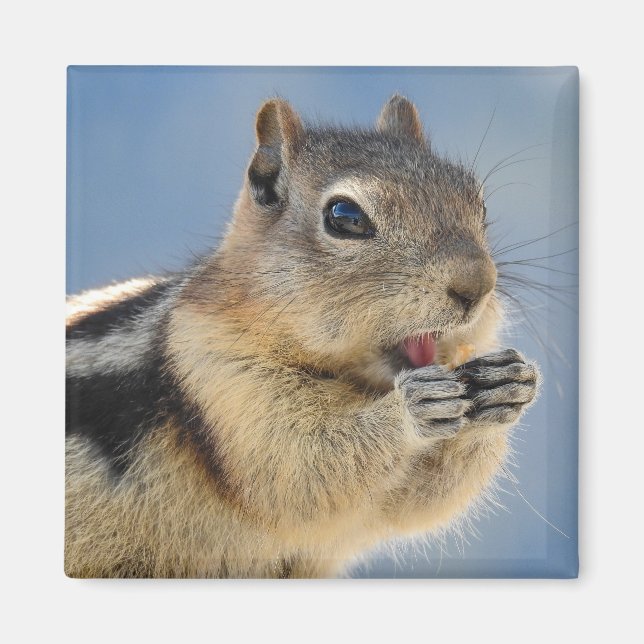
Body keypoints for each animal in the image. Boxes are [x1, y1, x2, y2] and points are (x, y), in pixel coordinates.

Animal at [65, 95, 540, 578]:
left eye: (479, 204)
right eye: (345, 217)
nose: (476, 285)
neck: (352, 381)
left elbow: (419, 498)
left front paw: (511, 384)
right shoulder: (219, 380)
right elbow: (298, 468)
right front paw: (412, 408)